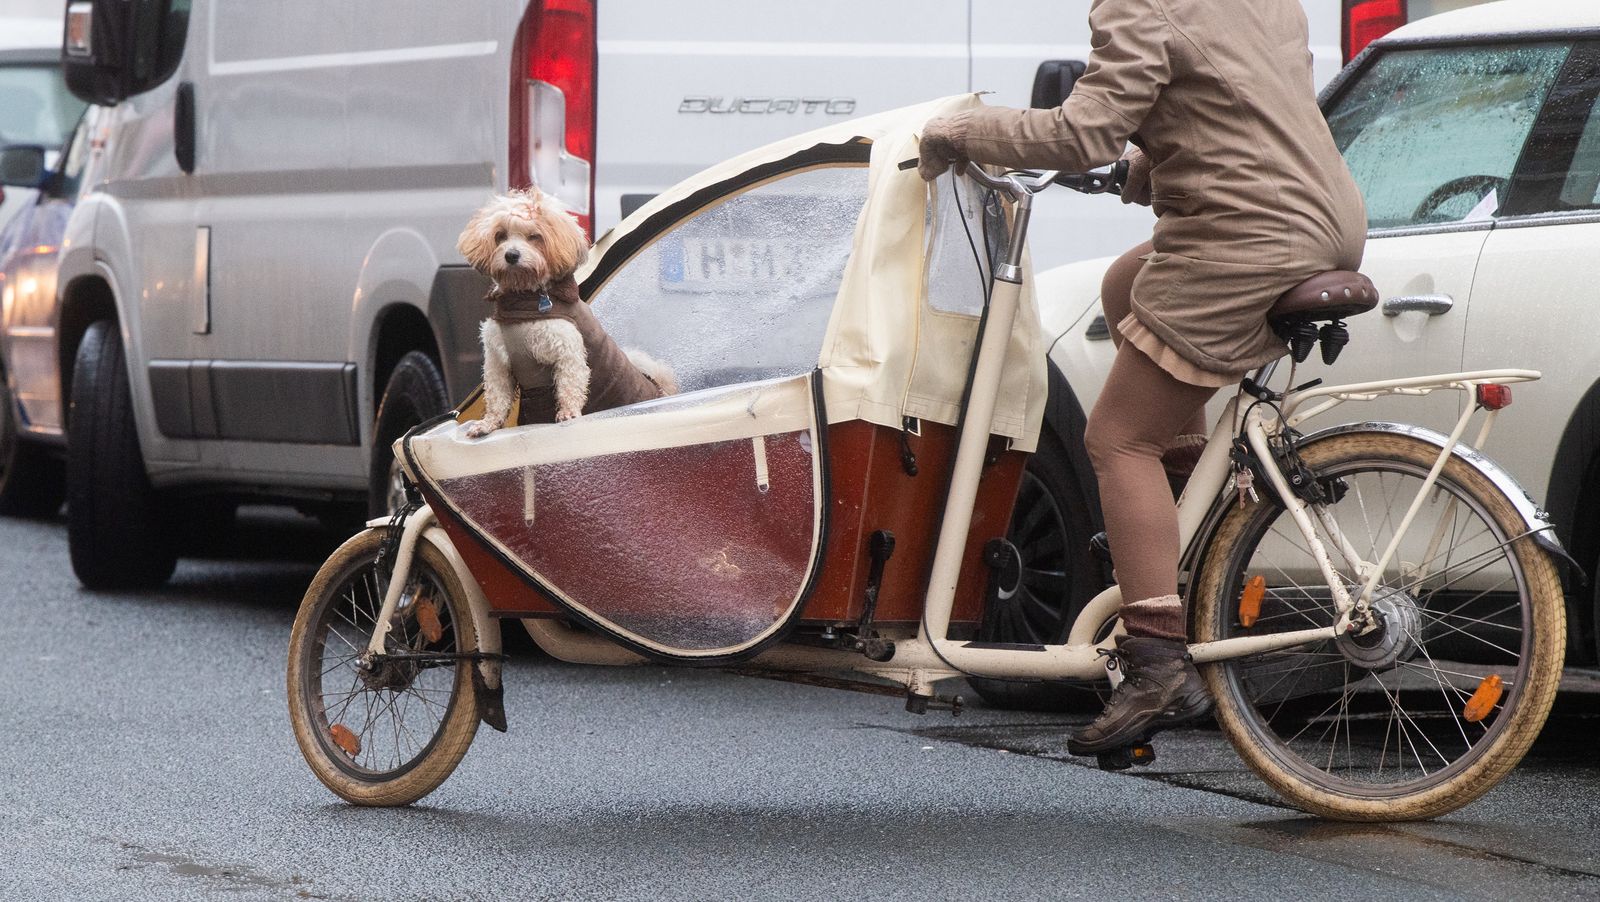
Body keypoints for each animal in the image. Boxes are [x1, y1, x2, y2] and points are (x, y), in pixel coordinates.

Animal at [457, 187, 675, 438]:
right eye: (500, 235)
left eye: (535, 236)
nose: (511, 255)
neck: (523, 301)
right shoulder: (498, 362)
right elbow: (497, 396)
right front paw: (488, 423)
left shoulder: (567, 351)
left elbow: (570, 384)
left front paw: (568, 413)